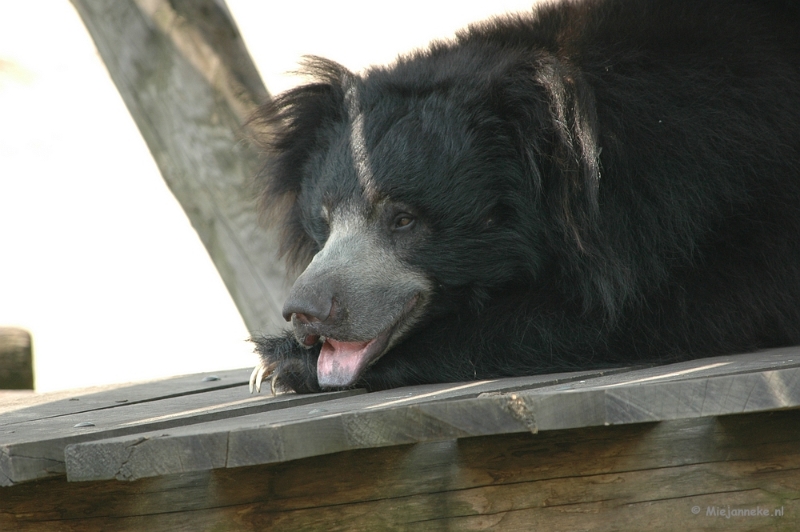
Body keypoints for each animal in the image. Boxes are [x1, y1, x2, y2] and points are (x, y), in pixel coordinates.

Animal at [250, 0, 800, 390]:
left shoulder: (727, 199)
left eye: (403, 219)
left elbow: (673, 308)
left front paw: (279, 363)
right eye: (323, 221)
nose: (304, 312)